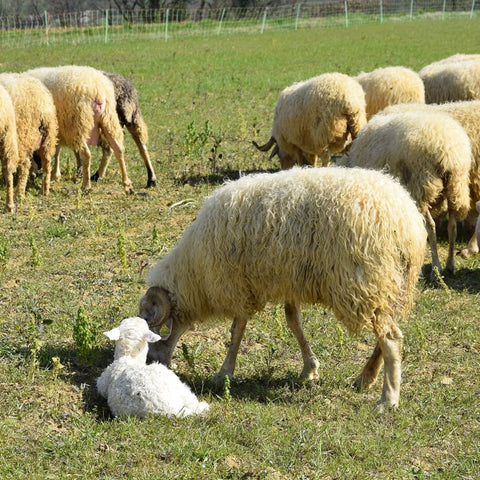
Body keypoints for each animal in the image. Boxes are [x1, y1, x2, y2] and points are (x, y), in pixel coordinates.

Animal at [0, 72, 58, 200]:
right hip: (47, 137)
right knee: (47, 164)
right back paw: (44, 190)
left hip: (22, 135)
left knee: (25, 165)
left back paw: (19, 193)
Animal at [24, 64, 133, 194]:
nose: (34, 174)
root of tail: (98, 90)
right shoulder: (59, 130)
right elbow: (57, 150)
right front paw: (56, 174)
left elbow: (55, 151)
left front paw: (52, 174)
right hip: (108, 119)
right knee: (119, 149)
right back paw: (127, 184)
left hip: (78, 124)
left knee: (87, 154)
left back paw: (86, 186)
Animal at [140, 166, 428, 408]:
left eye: (152, 330)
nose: (149, 363)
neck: (194, 272)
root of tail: (407, 224)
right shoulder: (287, 282)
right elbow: (293, 322)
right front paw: (309, 368)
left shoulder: (238, 285)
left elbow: (236, 331)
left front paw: (224, 373)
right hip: (385, 285)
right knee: (385, 333)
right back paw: (365, 378)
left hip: (365, 281)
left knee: (391, 337)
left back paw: (388, 399)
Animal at [340, 110, 470, 280]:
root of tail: (448, 150)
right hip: (456, 187)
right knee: (452, 227)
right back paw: (450, 265)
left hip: (420, 186)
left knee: (430, 226)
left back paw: (436, 268)